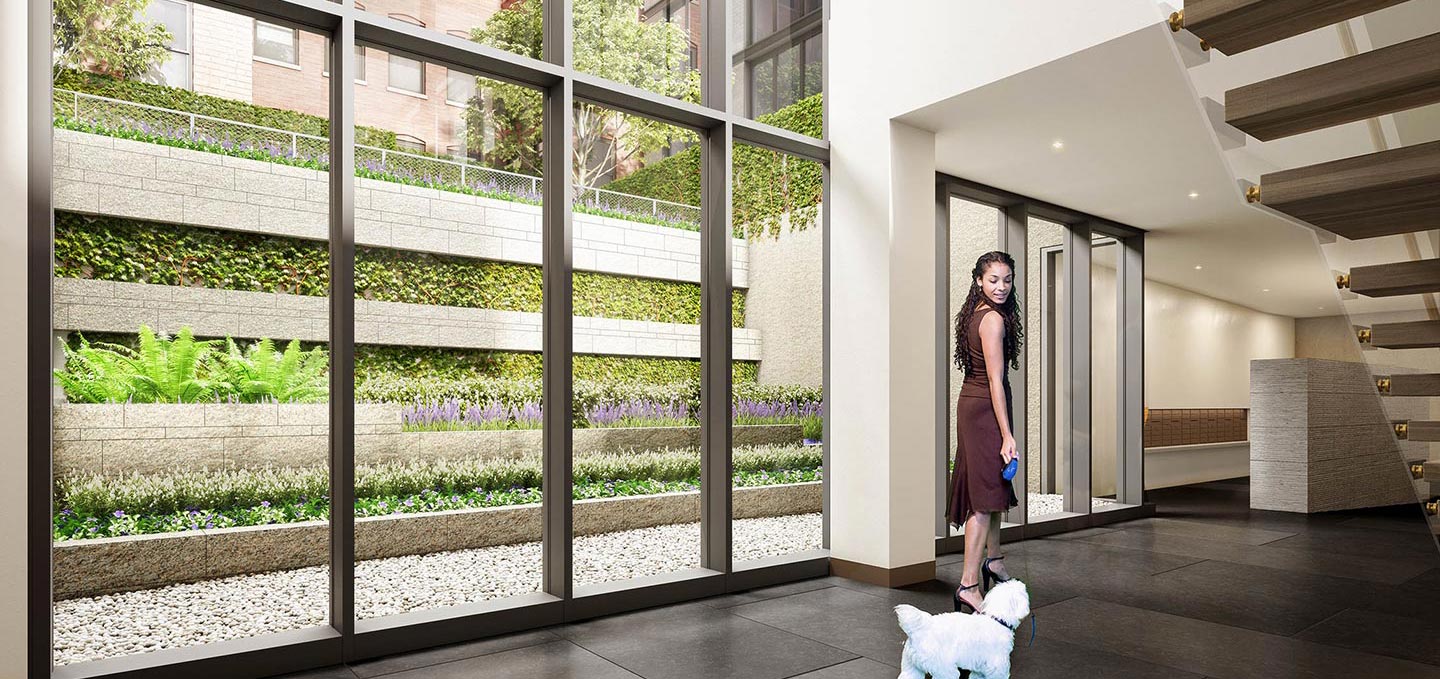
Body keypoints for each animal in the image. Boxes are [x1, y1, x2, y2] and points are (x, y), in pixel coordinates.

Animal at [892, 578, 1031, 679]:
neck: (997, 619)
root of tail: (919, 630)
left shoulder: (979, 668)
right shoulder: (997, 665)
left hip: (911, 668)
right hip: (945, 670)